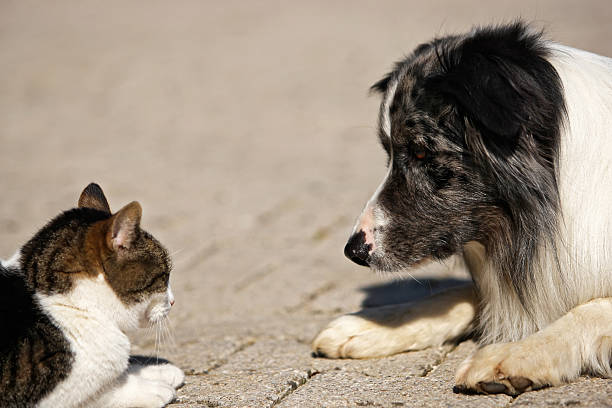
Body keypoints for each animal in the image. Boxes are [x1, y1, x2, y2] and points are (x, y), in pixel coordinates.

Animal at [314, 22, 612, 396]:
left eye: (421, 152)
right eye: (389, 153)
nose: (353, 251)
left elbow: (590, 308)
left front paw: (515, 353)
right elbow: (465, 292)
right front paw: (376, 324)